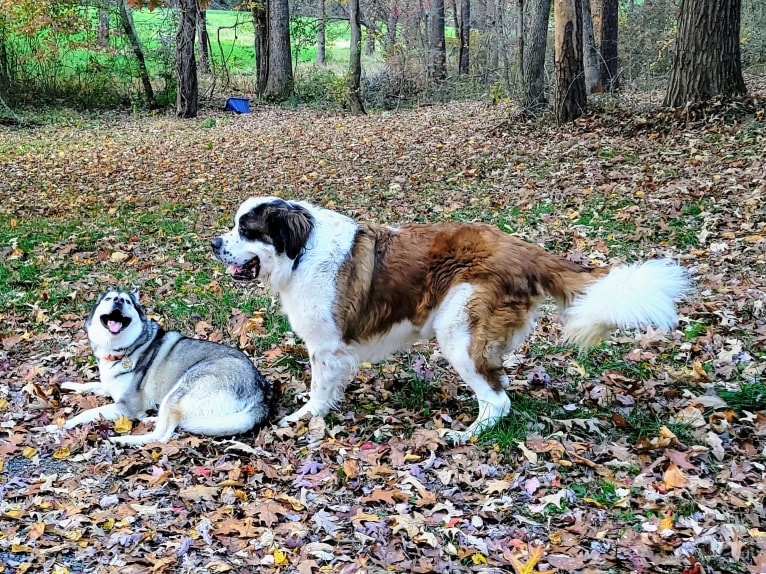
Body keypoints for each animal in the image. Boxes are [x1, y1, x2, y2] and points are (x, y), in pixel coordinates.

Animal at [51, 290, 274, 448]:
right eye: (109, 298)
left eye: (128, 302)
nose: (119, 301)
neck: (123, 348)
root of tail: (260, 394)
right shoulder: (109, 387)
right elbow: (91, 384)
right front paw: (68, 384)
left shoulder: (126, 406)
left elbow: (86, 413)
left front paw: (58, 425)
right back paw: (150, 419)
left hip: (178, 391)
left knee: (163, 436)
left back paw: (125, 440)